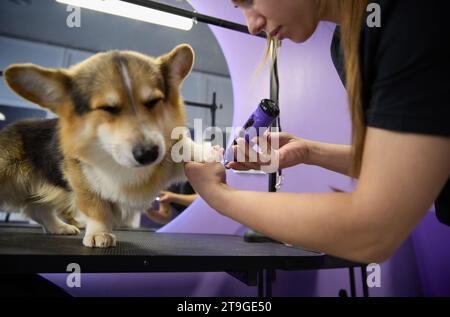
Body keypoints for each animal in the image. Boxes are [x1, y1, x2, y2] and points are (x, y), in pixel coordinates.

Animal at [0, 44, 221, 247]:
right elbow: (98, 209)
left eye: (153, 102)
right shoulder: (82, 182)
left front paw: (207, 152)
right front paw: (100, 233)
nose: (148, 154)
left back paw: (59, 227)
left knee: (38, 208)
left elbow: (184, 147)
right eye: (107, 108)